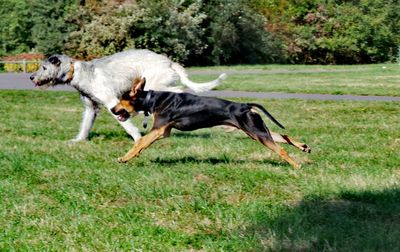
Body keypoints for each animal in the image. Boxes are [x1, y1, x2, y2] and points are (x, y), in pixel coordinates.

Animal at [29, 49, 227, 142]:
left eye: (44, 68)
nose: (31, 77)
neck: (76, 72)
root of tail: (169, 62)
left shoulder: (111, 101)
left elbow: (127, 124)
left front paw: (137, 138)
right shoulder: (91, 107)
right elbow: (85, 124)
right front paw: (78, 140)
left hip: (156, 84)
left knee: (180, 91)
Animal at [111, 77, 310, 167]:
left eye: (121, 99)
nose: (112, 109)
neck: (152, 99)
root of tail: (245, 106)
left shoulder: (159, 130)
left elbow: (140, 142)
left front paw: (125, 157)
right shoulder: (164, 132)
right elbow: (143, 143)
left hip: (255, 131)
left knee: (281, 149)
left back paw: (296, 165)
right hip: (256, 130)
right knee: (283, 135)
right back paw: (304, 147)